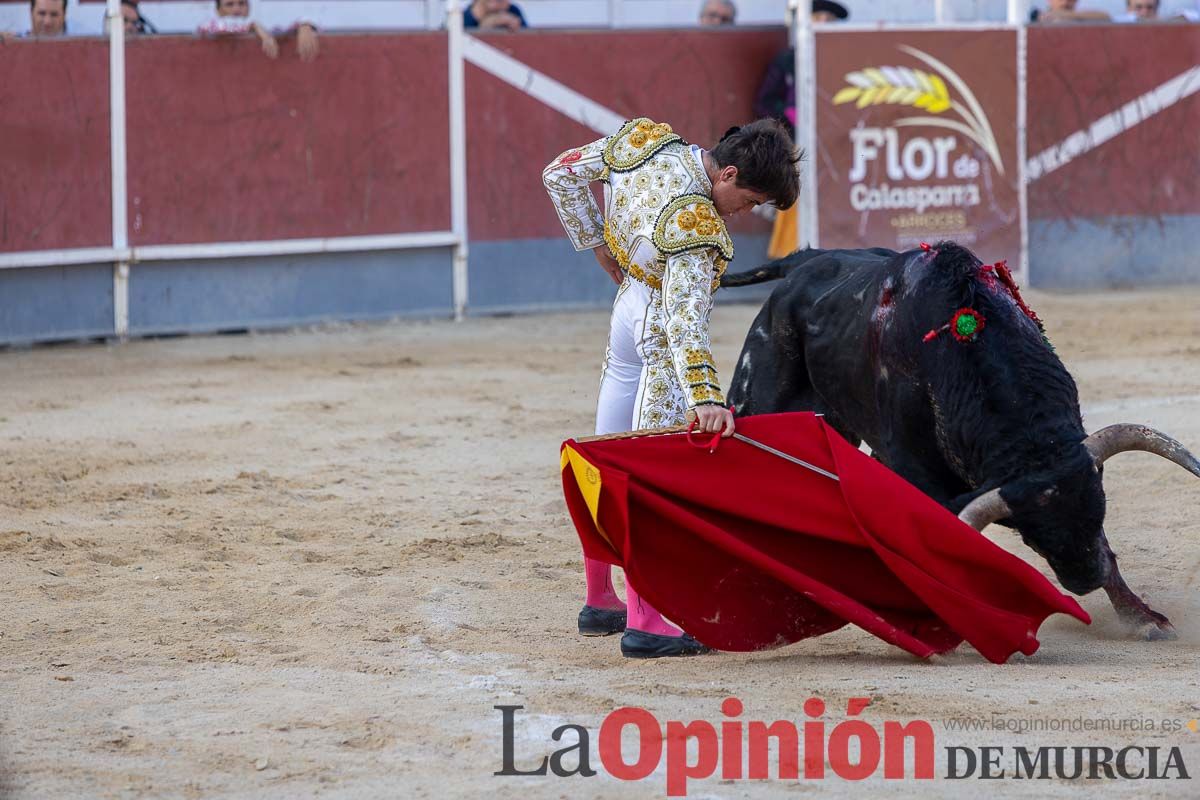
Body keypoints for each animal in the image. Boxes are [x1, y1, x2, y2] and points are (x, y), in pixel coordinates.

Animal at [720, 241, 1200, 642]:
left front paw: (1142, 617)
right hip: (755, 398)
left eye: (1099, 511)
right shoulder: (916, 472)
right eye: (1031, 535)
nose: (1085, 579)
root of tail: (807, 262)